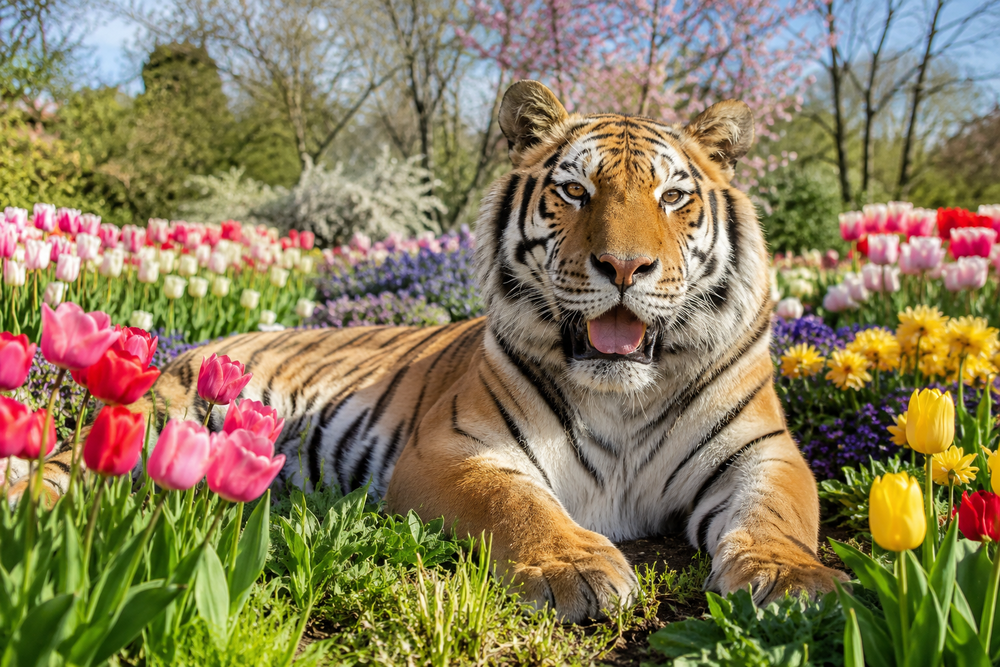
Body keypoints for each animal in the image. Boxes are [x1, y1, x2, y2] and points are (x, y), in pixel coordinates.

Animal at [16, 80, 847, 622]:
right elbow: (518, 503)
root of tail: (203, 344)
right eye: (575, 192)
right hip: (161, 420)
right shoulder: (455, 450)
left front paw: (792, 581)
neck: (622, 389)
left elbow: (777, 511)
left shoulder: (763, 450)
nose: (623, 266)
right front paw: (573, 566)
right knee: (64, 469)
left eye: (674, 197)